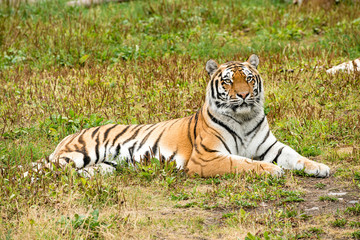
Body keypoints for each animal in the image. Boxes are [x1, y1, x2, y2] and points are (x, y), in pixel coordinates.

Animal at [26, 54, 330, 178]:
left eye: (249, 78)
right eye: (228, 81)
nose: (244, 95)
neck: (244, 119)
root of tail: (72, 133)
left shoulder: (271, 146)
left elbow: (296, 156)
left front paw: (320, 167)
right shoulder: (207, 158)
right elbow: (243, 163)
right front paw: (272, 170)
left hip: (104, 166)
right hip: (74, 156)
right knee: (35, 171)